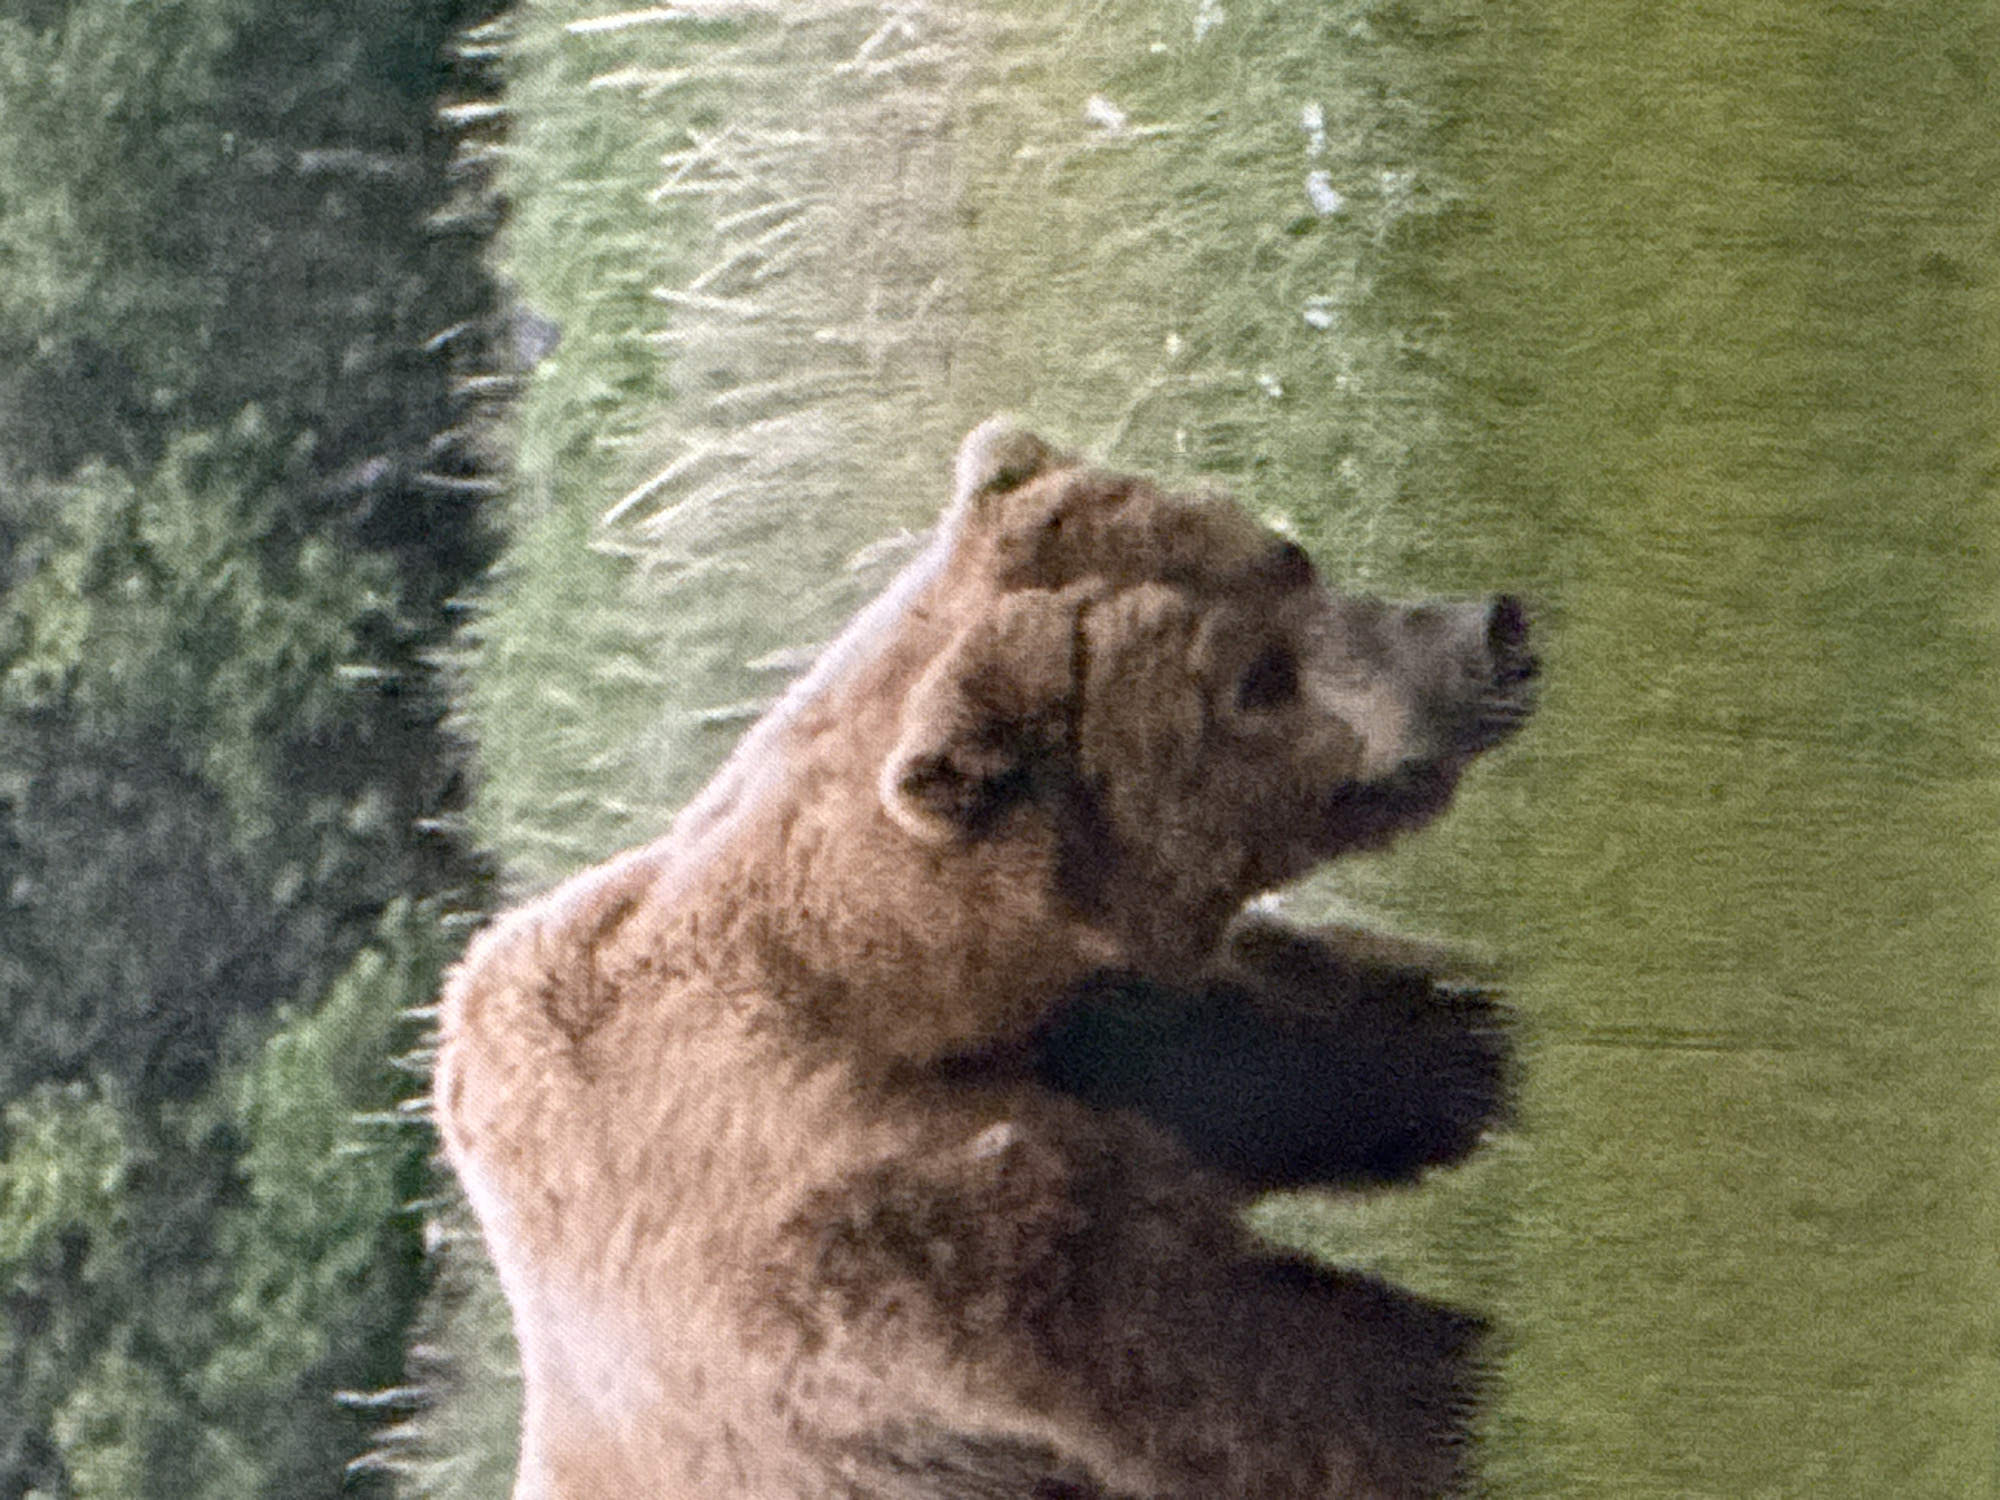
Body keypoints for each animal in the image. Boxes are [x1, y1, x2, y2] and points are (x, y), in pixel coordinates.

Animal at [433, 419, 1537, 1500]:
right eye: (1252, 681)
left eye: (1285, 555)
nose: (1490, 635)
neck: (890, 992)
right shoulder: (882, 1251)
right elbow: (1230, 1360)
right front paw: (1473, 1397)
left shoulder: (1104, 1018)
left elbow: (1326, 1056)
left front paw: (1494, 1054)